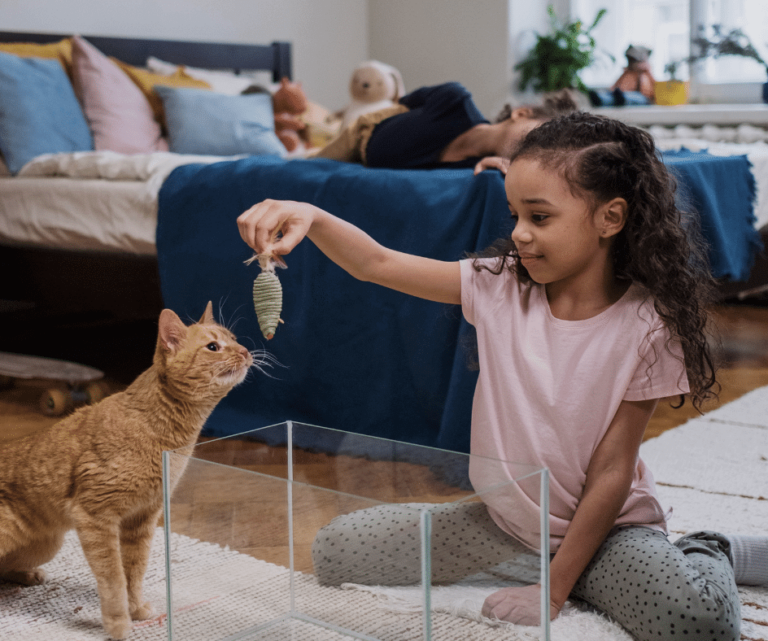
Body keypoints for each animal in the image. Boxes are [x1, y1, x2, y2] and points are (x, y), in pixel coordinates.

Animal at [0, 302, 255, 636]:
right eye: (213, 346)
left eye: (234, 339)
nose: (247, 351)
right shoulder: (96, 516)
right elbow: (114, 578)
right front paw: (118, 624)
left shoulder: (143, 518)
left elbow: (134, 571)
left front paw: (135, 610)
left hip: (48, 544)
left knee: (3, 569)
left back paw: (28, 576)